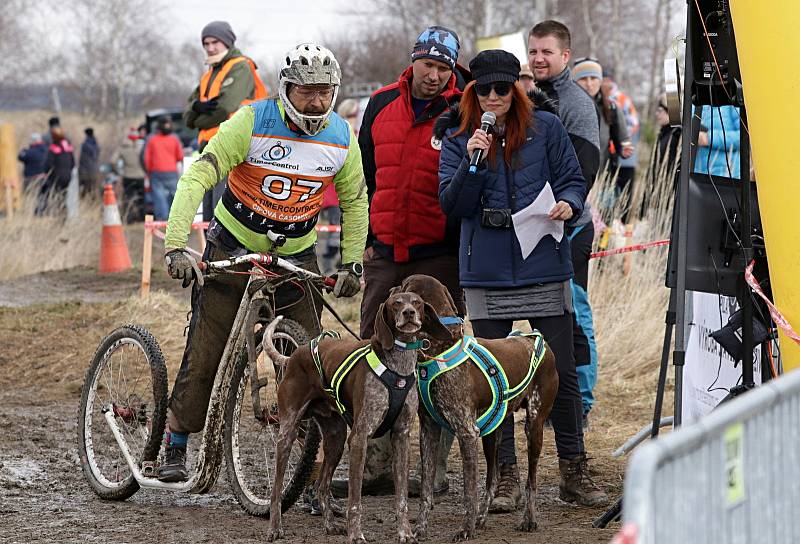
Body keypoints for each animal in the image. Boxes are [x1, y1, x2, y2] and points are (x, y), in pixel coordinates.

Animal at [268, 292, 450, 544]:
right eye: (396, 303)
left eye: (417, 302)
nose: (409, 313)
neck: (398, 365)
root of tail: (296, 353)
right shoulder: (360, 437)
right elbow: (355, 501)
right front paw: (356, 534)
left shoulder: (401, 437)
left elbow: (401, 498)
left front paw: (405, 532)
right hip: (288, 434)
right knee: (276, 490)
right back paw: (275, 528)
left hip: (335, 441)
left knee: (322, 487)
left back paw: (330, 525)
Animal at [400, 276, 564, 540]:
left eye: (403, 286)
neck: (440, 348)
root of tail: (535, 339)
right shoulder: (429, 431)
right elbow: (426, 490)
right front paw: (420, 529)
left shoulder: (467, 433)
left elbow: (469, 490)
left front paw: (465, 529)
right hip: (493, 433)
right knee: (493, 478)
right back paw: (482, 519)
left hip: (534, 426)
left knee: (531, 481)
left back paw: (528, 519)